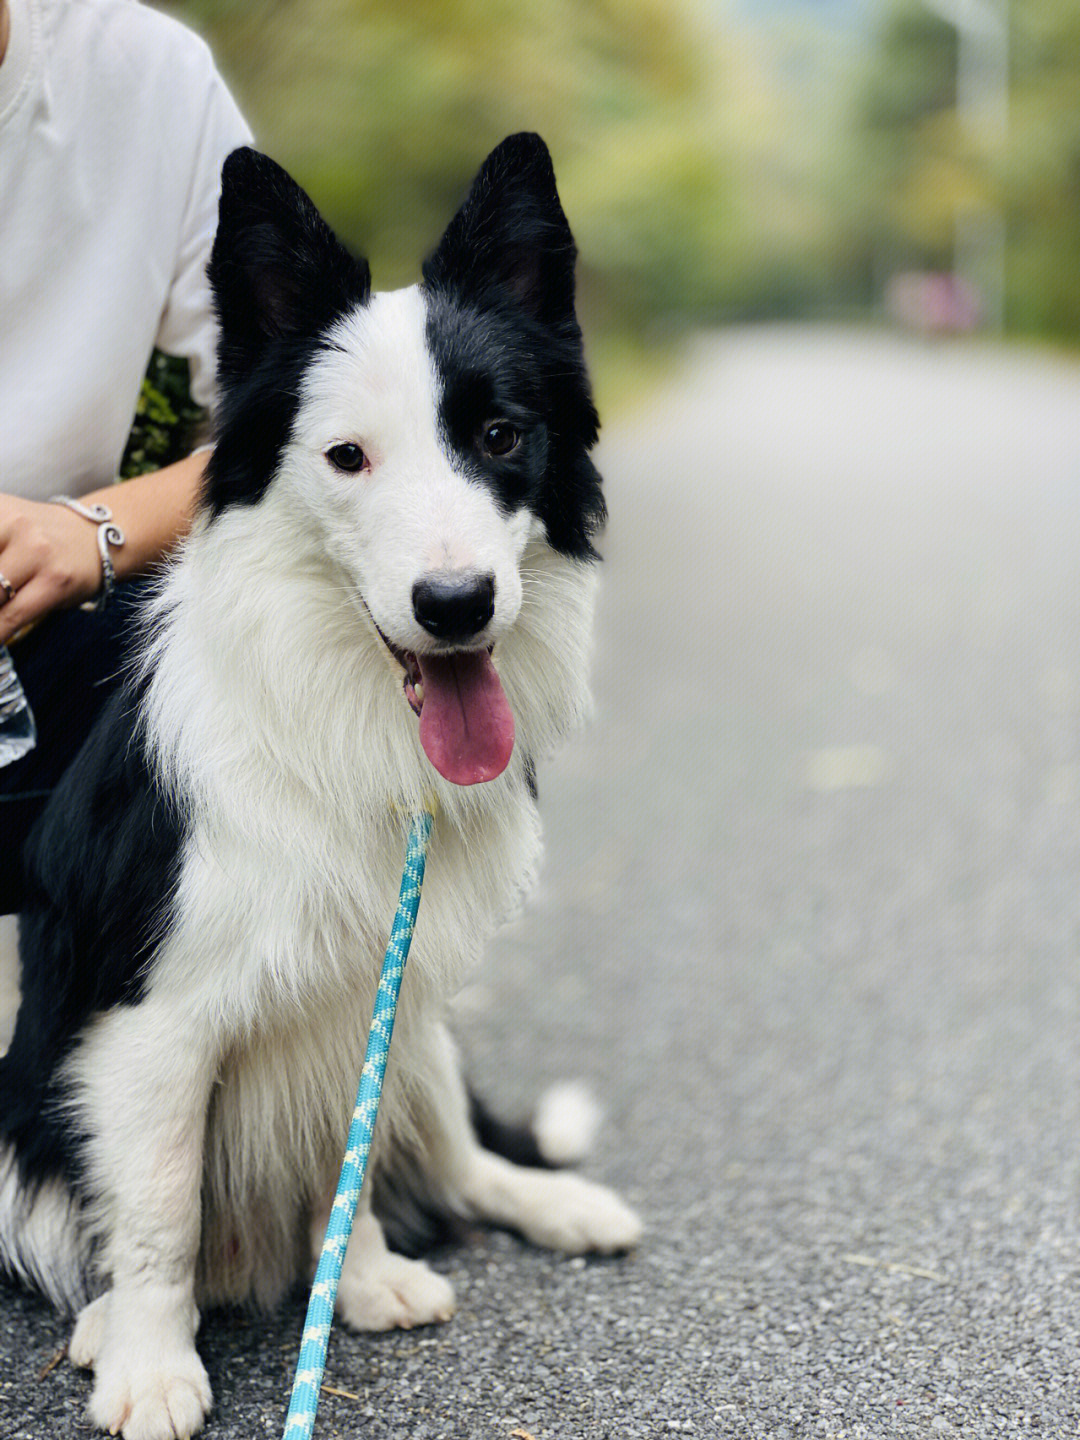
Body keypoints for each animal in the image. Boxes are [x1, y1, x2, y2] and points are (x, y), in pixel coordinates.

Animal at [0, 135, 642, 1440]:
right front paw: (150, 1360)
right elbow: (155, 1212)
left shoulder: (372, 986)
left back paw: (549, 1208)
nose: (455, 606)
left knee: (460, 1161)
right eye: (347, 457)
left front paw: (356, 1274)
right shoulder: (150, 1021)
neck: (346, 715)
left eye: (500, 436)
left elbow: (337, 1160)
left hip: (430, 1024)